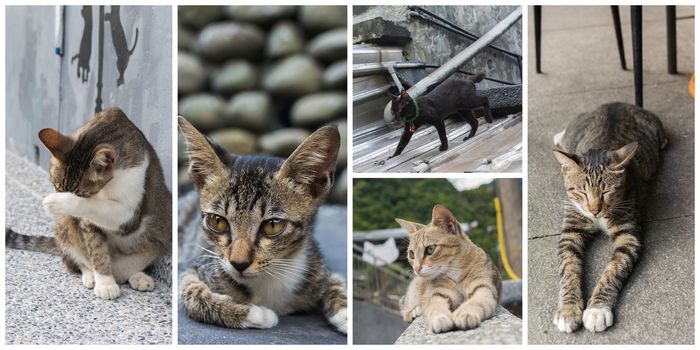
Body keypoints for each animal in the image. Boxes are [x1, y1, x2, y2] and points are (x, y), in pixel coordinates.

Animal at [6, 107, 172, 300]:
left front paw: (58, 201)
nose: (60, 197)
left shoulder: (131, 213)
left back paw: (138, 276)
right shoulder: (88, 222)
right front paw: (105, 282)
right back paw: (90, 275)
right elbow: (96, 248)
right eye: (56, 186)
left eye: (82, 194)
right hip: (64, 227)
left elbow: (97, 207)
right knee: (75, 260)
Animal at [178, 117, 348, 334]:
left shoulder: (317, 265)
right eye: (217, 221)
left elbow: (337, 281)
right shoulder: (190, 267)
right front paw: (256, 313)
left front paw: (346, 313)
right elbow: (192, 293)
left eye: (273, 225)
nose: (239, 263)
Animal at [396, 205, 500, 334]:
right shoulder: (439, 295)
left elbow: (475, 302)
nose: (416, 268)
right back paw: (415, 312)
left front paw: (465, 313)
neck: (456, 275)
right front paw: (440, 318)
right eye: (411, 254)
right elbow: (435, 307)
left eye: (430, 249)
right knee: (405, 310)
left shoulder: (484, 289)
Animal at [552, 102, 668, 334]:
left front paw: (597, 310)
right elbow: (568, 268)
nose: (594, 210)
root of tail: (616, 103)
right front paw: (568, 310)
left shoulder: (628, 235)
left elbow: (614, 269)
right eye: (582, 192)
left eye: (607, 192)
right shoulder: (571, 230)